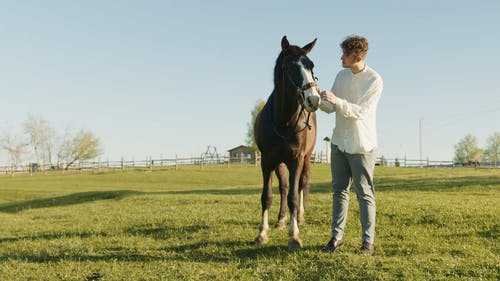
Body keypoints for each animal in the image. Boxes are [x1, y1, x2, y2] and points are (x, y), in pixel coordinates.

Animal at [254, 35, 320, 249]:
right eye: (291, 67)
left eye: (311, 65)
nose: (314, 99)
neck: (283, 121)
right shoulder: (267, 161)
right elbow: (267, 196)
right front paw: (262, 234)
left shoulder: (297, 159)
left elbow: (294, 196)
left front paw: (294, 236)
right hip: (279, 163)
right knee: (283, 187)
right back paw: (281, 219)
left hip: (305, 160)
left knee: (300, 185)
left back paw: (299, 217)